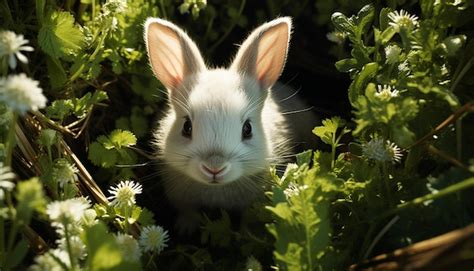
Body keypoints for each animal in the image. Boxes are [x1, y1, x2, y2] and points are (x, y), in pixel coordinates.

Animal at [143, 17, 296, 234]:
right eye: (186, 127)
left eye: (247, 129)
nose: (214, 168)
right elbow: (187, 210)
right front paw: (186, 228)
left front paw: (246, 233)